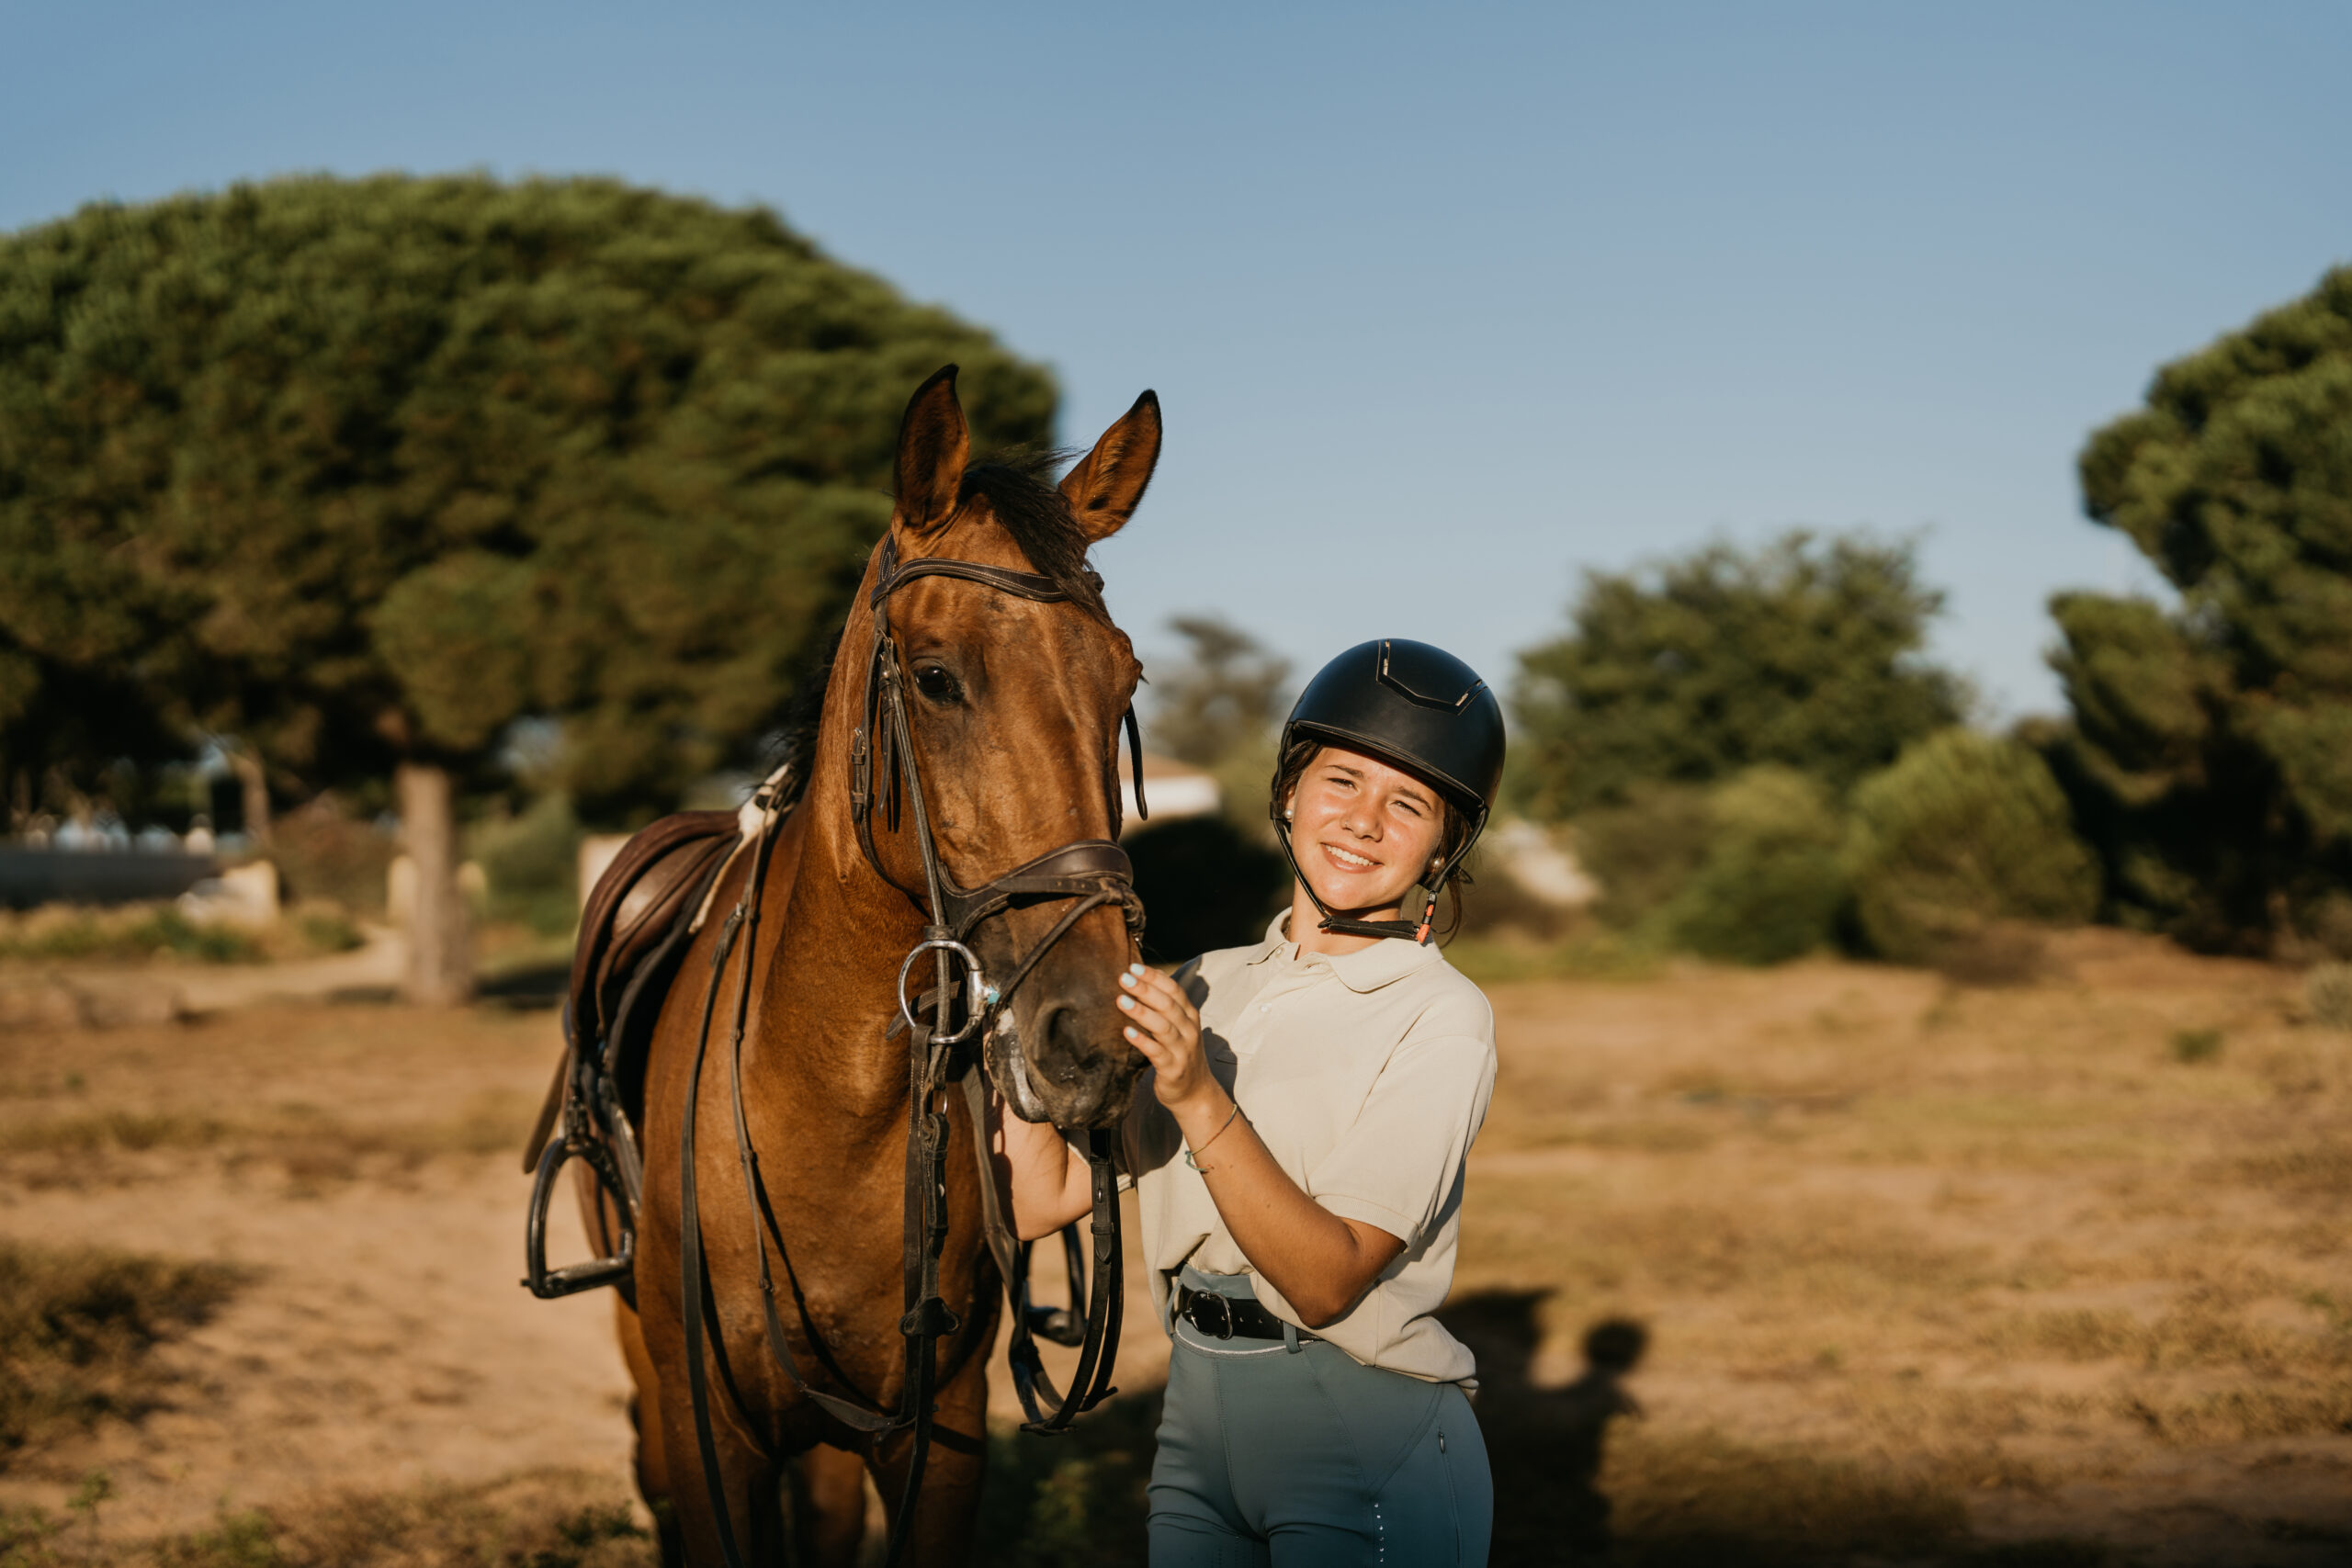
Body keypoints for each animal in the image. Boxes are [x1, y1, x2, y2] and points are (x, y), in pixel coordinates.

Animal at [602, 364, 1161, 1561]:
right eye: (939, 679)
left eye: (1123, 680)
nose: (1095, 1039)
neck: (824, 1102)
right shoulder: (708, 1436)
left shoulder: (935, 1436)